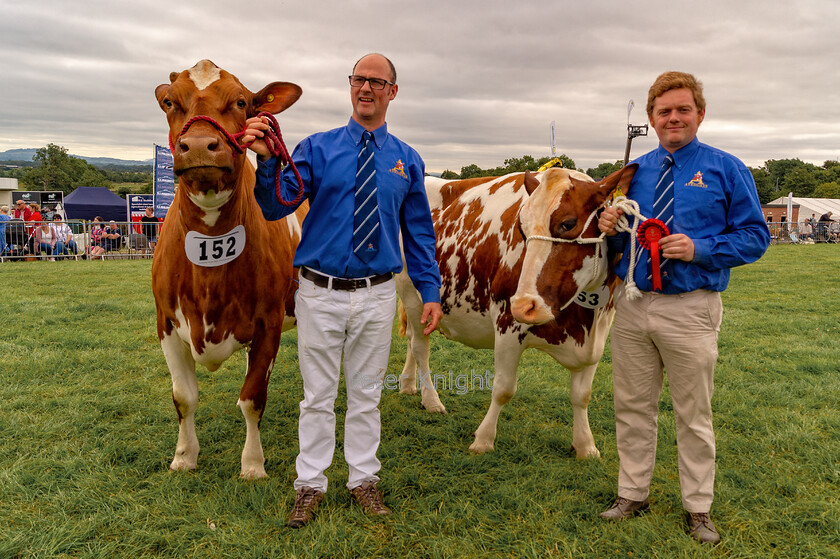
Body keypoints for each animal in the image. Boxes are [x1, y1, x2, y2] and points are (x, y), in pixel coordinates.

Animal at [153, 62, 306, 482]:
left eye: (240, 102)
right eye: (169, 101)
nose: (199, 145)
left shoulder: (269, 322)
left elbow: (252, 398)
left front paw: (253, 464)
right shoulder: (165, 322)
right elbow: (183, 396)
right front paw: (184, 456)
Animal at [398, 164, 632, 458]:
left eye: (568, 223)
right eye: (522, 228)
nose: (523, 305)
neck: (583, 321)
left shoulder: (599, 333)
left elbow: (582, 395)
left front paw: (586, 445)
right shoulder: (507, 325)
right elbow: (503, 388)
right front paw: (483, 439)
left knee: (413, 340)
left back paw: (408, 384)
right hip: (411, 293)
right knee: (420, 346)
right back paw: (431, 400)